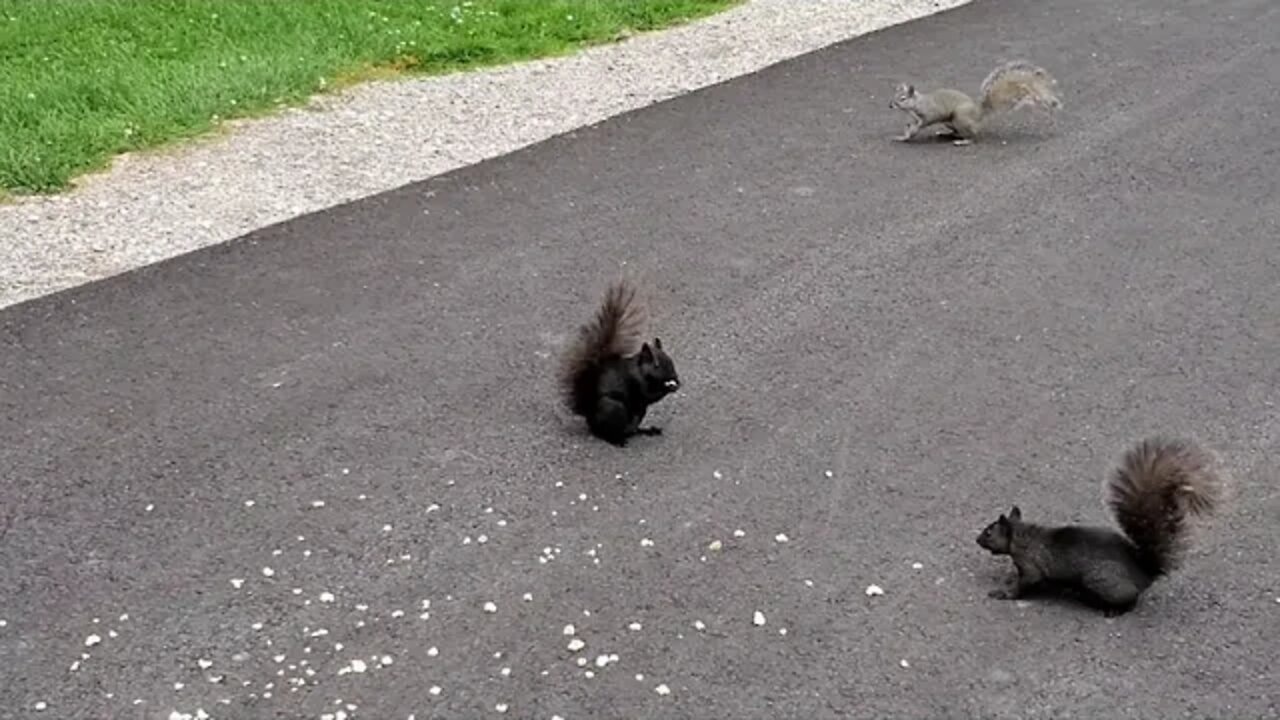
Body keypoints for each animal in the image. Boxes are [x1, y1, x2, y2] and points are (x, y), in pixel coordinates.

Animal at [558, 277, 680, 447]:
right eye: (656, 365)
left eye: (671, 361)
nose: (674, 377)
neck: (640, 370)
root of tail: (590, 416)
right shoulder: (636, 382)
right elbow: (649, 395)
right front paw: (668, 387)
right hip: (614, 408)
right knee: (604, 433)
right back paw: (616, 440)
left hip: (637, 414)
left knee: (632, 430)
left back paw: (647, 430)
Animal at [888, 59, 1062, 145]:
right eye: (895, 95)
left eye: (902, 98)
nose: (890, 105)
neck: (917, 103)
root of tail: (979, 113)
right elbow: (909, 128)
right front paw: (903, 136)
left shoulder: (930, 112)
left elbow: (925, 121)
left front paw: (914, 129)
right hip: (951, 122)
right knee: (958, 131)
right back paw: (946, 133)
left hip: (960, 118)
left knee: (974, 135)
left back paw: (964, 141)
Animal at [976, 436, 1229, 615]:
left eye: (989, 532)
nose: (976, 539)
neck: (1022, 535)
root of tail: (1143, 574)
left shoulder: (1030, 564)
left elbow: (1028, 582)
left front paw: (1005, 593)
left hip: (1101, 581)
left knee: (1131, 600)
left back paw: (1112, 609)